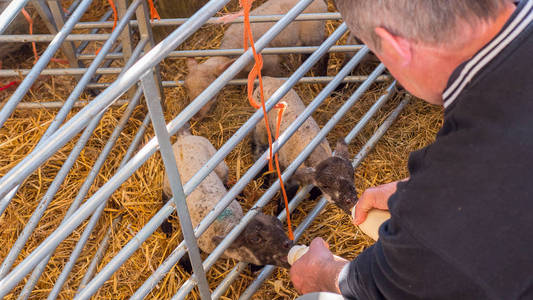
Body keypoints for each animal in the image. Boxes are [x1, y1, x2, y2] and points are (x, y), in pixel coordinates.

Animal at [162, 126, 290, 268]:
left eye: (278, 224)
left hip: (220, 166)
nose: (287, 244)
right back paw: (166, 226)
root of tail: (184, 137)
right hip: (168, 184)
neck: (223, 224)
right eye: (255, 239)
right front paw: (187, 267)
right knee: (165, 198)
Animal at [184, 0, 328, 120]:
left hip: (314, 35)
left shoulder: (271, 64)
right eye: (187, 88)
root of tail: (322, 3)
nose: (195, 117)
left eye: (210, 93)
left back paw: (321, 74)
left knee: (324, 52)